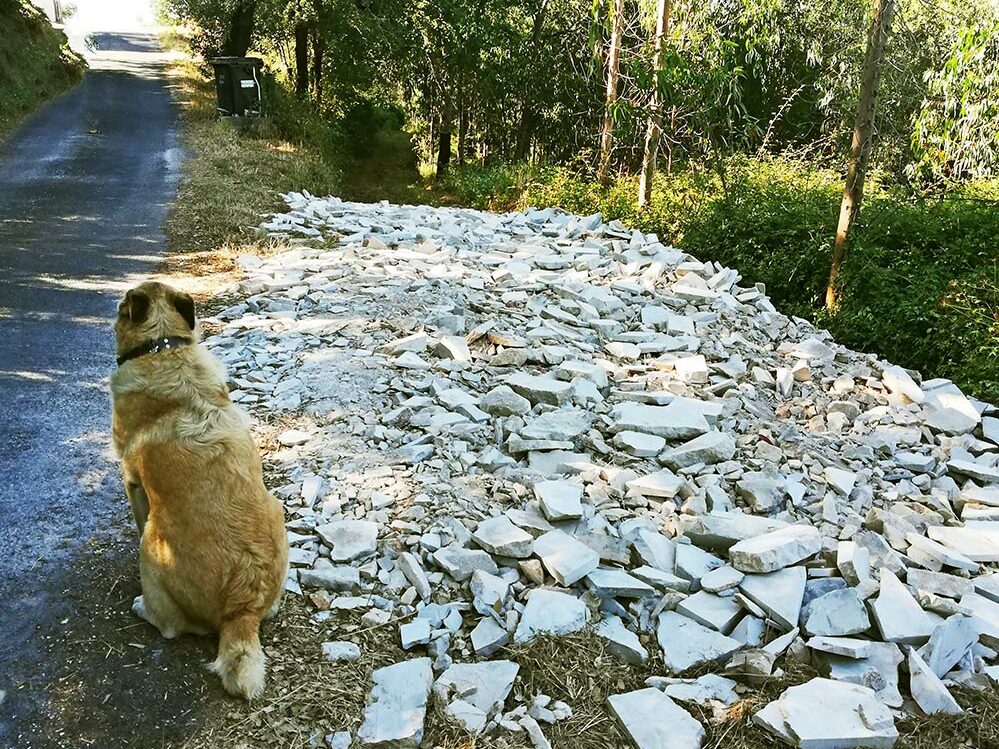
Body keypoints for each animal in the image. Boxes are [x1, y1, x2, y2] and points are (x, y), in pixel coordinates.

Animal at [110, 281, 289, 700]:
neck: (163, 347)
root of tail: (242, 609)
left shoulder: (131, 479)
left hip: (152, 545)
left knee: (171, 626)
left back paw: (143, 607)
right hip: (277, 510)